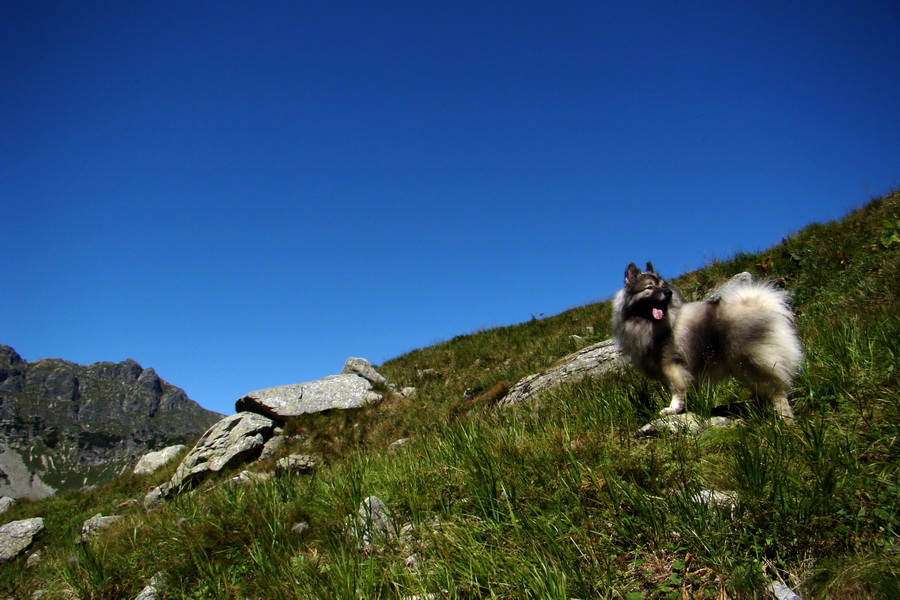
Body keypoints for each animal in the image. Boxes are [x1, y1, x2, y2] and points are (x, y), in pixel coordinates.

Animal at [612, 260, 800, 420]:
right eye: (649, 287)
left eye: (663, 286)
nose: (668, 293)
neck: (651, 324)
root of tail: (762, 307)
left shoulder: (672, 366)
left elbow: (677, 390)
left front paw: (673, 409)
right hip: (744, 369)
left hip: (756, 363)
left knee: (778, 393)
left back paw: (785, 421)